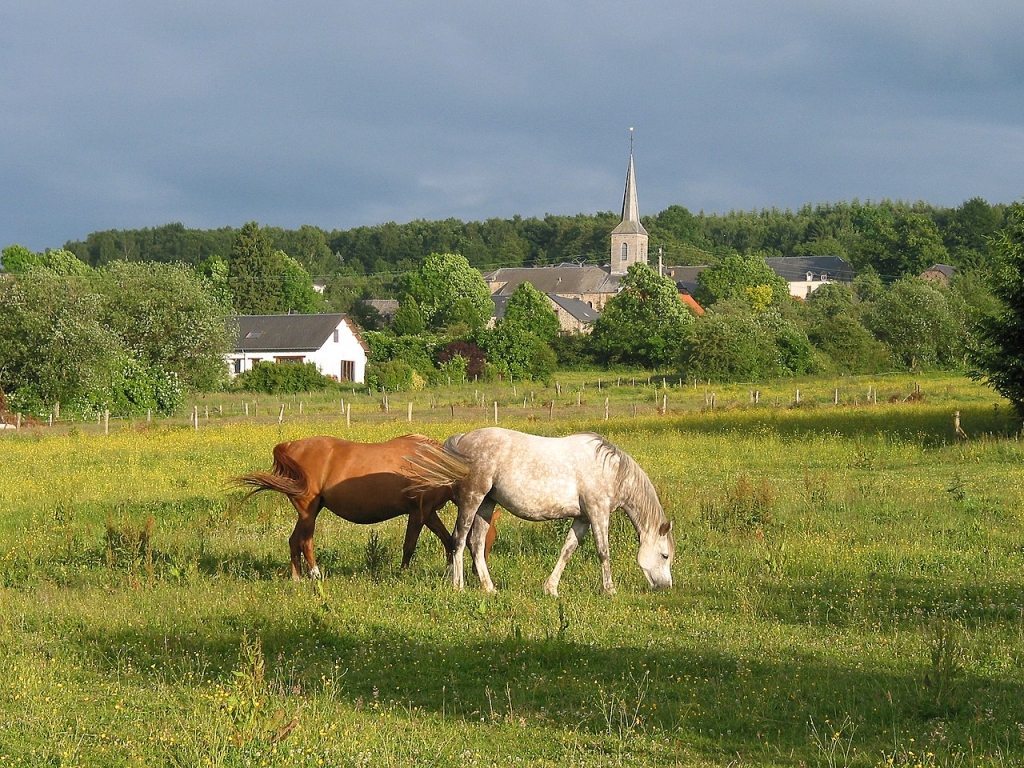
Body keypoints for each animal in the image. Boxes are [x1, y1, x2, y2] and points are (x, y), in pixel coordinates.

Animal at [236, 436, 499, 581]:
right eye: (489, 538)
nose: (478, 570)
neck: (436, 465)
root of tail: (290, 446)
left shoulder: (429, 512)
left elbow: (447, 540)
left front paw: (449, 569)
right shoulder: (418, 512)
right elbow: (409, 545)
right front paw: (403, 573)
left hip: (309, 511)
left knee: (293, 541)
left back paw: (297, 578)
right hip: (308, 511)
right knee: (305, 542)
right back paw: (316, 574)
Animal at [403, 430, 675, 598]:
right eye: (664, 555)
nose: (665, 587)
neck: (610, 470)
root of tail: (461, 440)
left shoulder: (583, 518)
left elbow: (567, 550)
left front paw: (551, 588)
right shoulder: (598, 513)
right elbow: (603, 552)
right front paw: (610, 590)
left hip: (486, 505)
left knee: (476, 543)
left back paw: (489, 588)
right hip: (472, 500)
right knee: (458, 540)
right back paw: (458, 586)